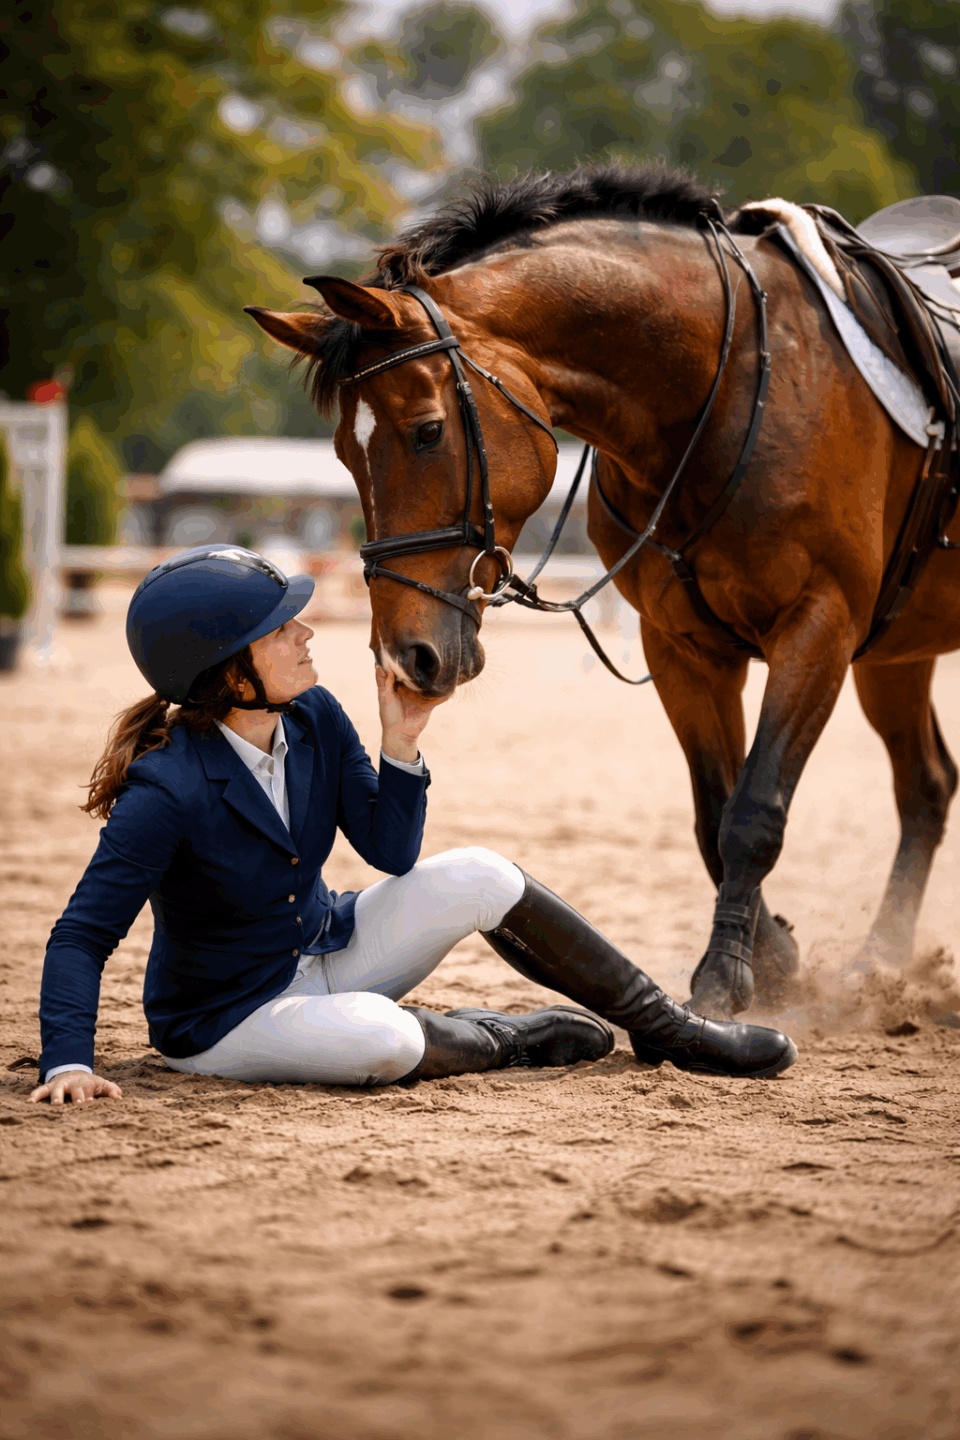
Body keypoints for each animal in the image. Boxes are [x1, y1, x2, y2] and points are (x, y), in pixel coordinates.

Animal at [245, 164, 960, 1021]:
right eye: (344, 456)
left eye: (427, 431)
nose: (407, 657)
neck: (726, 393)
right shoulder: (684, 647)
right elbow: (713, 812)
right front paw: (776, 956)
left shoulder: (817, 629)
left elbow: (754, 812)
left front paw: (728, 977)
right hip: (894, 655)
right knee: (926, 785)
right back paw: (878, 968)